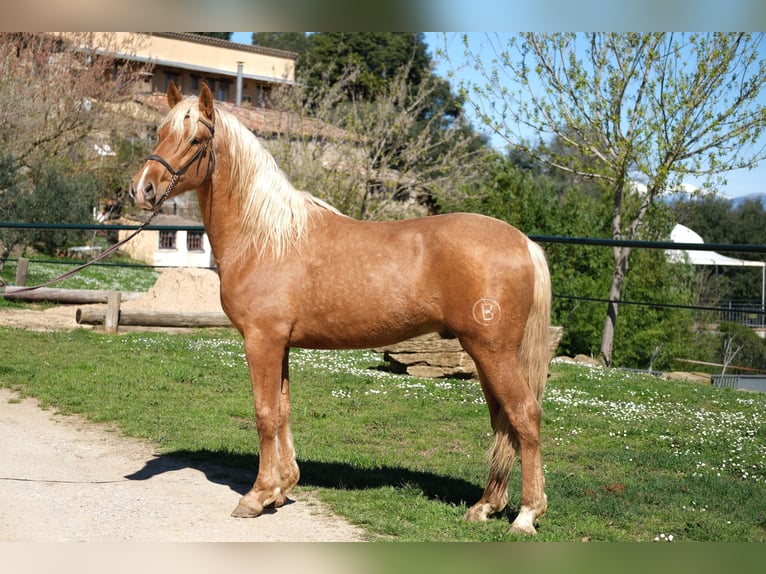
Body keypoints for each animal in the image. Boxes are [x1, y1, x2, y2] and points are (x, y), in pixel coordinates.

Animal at [129, 82, 552, 535]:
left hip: (493, 351)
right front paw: (282, 487)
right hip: (484, 354)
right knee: (502, 421)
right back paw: (485, 506)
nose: (143, 189)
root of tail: (523, 242)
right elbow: (283, 410)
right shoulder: (280, 345)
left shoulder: (262, 341)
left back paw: (526, 514)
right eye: (159, 133)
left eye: (196, 140)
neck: (265, 237)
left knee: (524, 415)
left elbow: (264, 413)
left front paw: (257, 496)